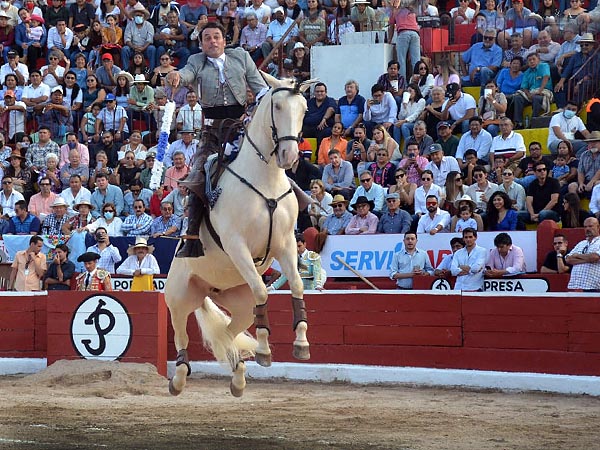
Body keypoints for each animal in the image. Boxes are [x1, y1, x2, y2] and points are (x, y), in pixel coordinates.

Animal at [165, 73, 312, 398]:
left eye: (304, 109)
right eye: (278, 106)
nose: (290, 155)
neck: (265, 181)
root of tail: (210, 291)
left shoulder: (286, 245)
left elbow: (296, 285)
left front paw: (301, 344)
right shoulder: (237, 246)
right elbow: (262, 291)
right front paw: (265, 352)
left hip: (239, 305)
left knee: (228, 332)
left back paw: (238, 375)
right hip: (179, 296)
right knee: (181, 335)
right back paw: (178, 380)